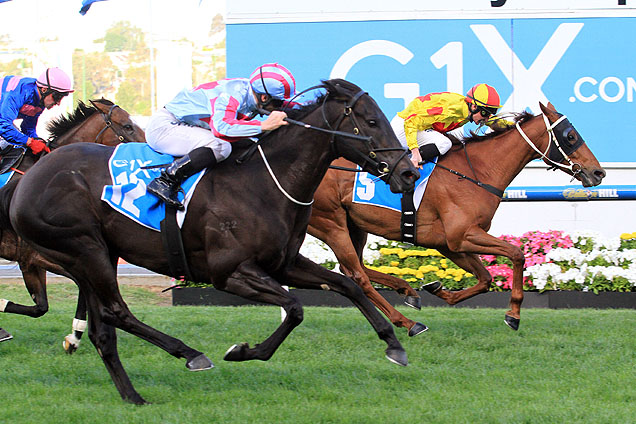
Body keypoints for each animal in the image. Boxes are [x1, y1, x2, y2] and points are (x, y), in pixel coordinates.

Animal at [308, 102, 608, 332]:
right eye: (570, 136)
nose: (598, 172)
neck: (476, 173)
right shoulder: (461, 235)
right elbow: (516, 253)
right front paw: (513, 314)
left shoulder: (449, 243)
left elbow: (485, 279)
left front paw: (439, 290)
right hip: (331, 223)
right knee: (357, 275)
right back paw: (407, 322)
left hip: (354, 224)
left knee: (353, 267)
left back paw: (408, 291)